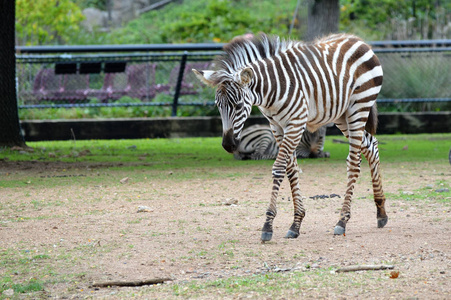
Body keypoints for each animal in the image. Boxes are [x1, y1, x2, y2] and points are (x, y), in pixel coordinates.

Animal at [194, 32, 388, 241]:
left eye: (238, 106)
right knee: (372, 145)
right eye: (218, 106)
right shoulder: (277, 127)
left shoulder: (295, 123)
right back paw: (381, 213)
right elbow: (291, 170)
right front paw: (296, 223)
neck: (271, 91)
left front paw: (268, 226)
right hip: (342, 115)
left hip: (358, 108)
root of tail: (357, 39)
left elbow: (279, 169)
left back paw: (342, 221)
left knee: (353, 163)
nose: (228, 145)